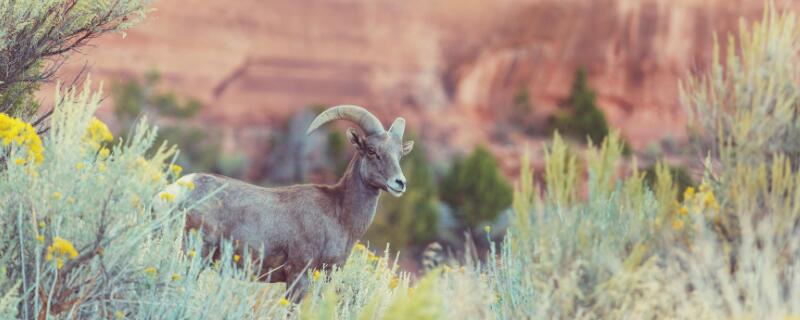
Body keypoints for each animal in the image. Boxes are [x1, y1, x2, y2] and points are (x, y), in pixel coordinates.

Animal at [172, 105, 416, 300]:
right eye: (372, 150)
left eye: (399, 155)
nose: (400, 183)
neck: (339, 216)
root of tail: (178, 188)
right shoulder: (298, 276)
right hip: (195, 255)